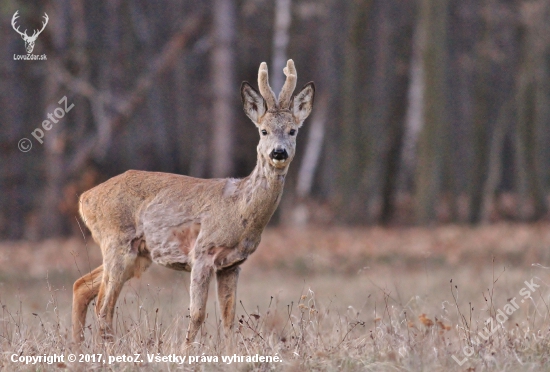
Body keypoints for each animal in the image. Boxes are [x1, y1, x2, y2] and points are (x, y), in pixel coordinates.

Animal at [72, 59, 314, 348]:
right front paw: (185, 352)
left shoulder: (232, 265)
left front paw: (230, 352)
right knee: (103, 306)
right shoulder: (202, 252)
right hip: (116, 242)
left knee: (81, 286)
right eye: (263, 130)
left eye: (292, 130)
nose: (278, 152)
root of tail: (85, 198)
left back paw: (75, 346)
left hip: (138, 254)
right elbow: (197, 314)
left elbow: (228, 319)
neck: (239, 209)